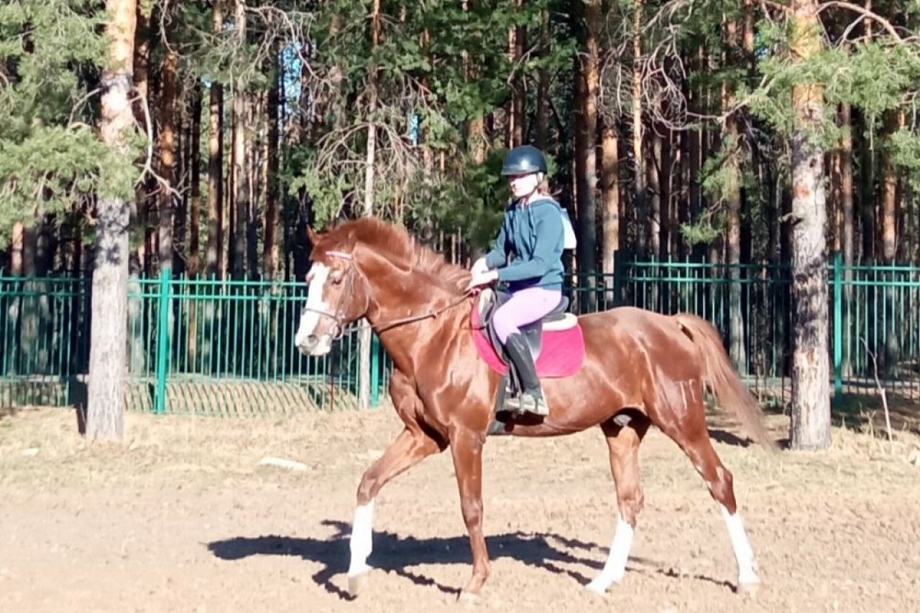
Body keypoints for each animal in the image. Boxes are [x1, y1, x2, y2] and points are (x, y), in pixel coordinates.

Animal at [292, 216, 768, 604]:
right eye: (309, 277)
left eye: (337, 280)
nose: (306, 342)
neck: (433, 333)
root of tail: (670, 323)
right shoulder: (425, 437)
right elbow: (369, 481)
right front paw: (355, 574)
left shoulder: (466, 438)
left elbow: (471, 507)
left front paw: (475, 583)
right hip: (623, 429)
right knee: (630, 500)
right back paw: (602, 581)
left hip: (683, 423)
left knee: (719, 481)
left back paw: (747, 577)